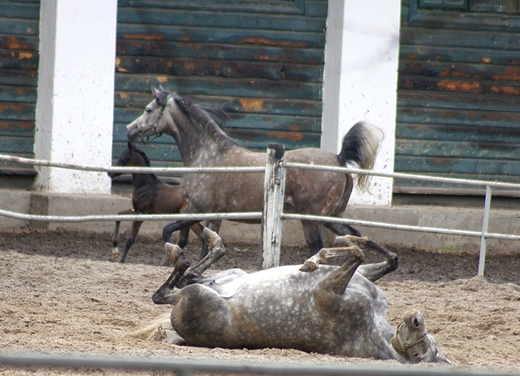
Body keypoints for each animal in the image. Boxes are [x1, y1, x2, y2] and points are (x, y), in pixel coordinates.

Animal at [128, 89, 384, 256]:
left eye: (148, 109)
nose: (130, 130)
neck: (207, 155)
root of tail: (339, 159)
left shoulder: (195, 210)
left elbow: (168, 232)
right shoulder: (213, 217)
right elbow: (205, 249)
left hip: (312, 220)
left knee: (318, 250)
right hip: (333, 218)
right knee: (362, 238)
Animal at [149, 229, 446, 364]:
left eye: (419, 352)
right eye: (426, 341)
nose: (416, 319)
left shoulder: (327, 289)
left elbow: (352, 255)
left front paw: (312, 261)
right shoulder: (360, 279)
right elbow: (385, 258)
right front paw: (345, 239)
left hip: (194, 297)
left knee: (167, 291)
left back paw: (179, 254)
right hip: (231, 275)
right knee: (192, 275)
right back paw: (210, 242)